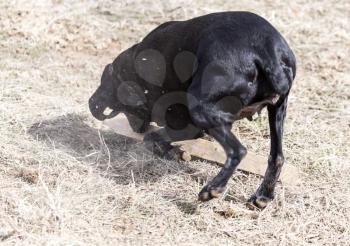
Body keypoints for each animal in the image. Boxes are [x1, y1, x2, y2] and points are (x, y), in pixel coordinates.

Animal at [89, 11, 296, 208]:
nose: (136, 128)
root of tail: (266, 52)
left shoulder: (186, 124)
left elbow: (153, 137)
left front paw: (168, 150)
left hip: (200, 109)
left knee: (238, 151)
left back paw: (213, 189)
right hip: (277, 110)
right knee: (277, 157)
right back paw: (263, 196)